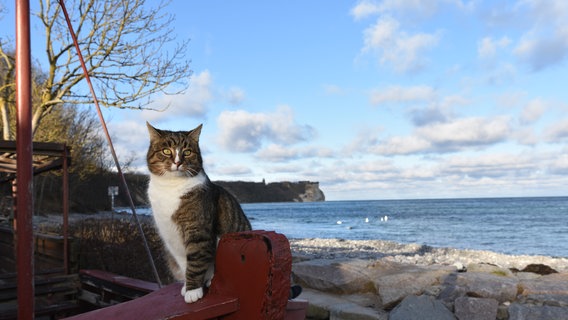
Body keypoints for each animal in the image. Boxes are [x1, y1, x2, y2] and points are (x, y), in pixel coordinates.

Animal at [145, 122, 252, 302]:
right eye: (166, 151)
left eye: (187, 152)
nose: (178, 162)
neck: (170, 188)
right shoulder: (170, 236)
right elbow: (184, 262)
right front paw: (187, 287)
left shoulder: (197, 229)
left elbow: (195, 260)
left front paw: (192, 290)